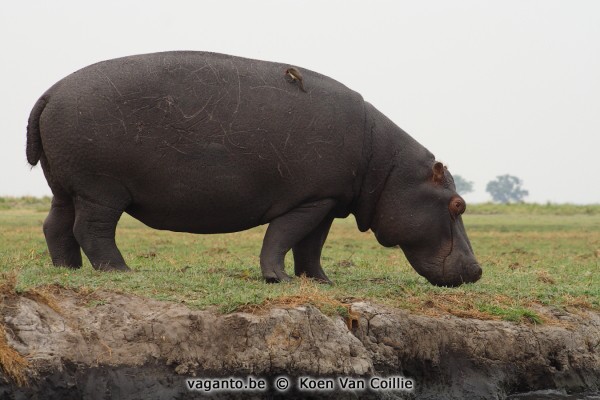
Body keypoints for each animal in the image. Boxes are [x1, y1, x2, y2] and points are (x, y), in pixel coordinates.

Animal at [25, 50, 480, 288]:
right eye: (457, 205)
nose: (477, 269)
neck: (386, 167)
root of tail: (49, 92)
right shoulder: (311, 200)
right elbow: (282, 237)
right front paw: (280, 280)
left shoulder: (327, 201)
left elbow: (311, 246)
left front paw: (321, 282)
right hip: (101, 191)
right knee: (93, 230)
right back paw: (121, 271)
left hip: (64, 187)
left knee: (56, 225)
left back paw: (67, 270)